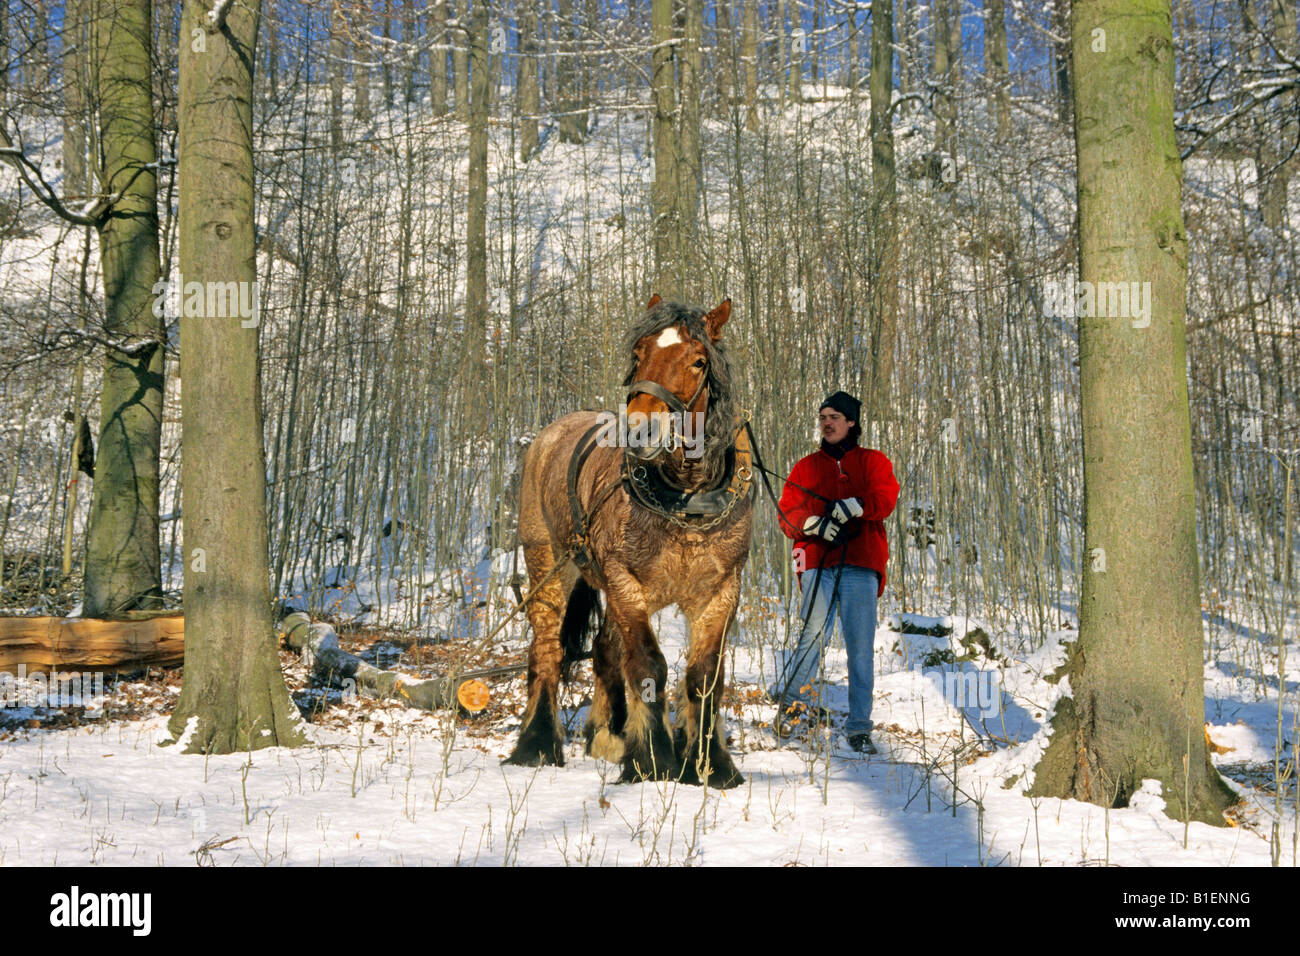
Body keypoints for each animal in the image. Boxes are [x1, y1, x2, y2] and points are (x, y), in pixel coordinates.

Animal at [503, 295, 754, 788]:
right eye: (639, 353)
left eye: (698, 361)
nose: (640, 432)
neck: (685, 504)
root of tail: (550, 434)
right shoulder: (625, 582)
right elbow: (647, 665)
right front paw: (654, 761)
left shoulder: (720, 592)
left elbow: (703, 675)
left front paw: (710, 765)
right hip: (549, 565)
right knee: (548, 649)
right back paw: (537, 743)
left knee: (604, 650)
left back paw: (608, 735)